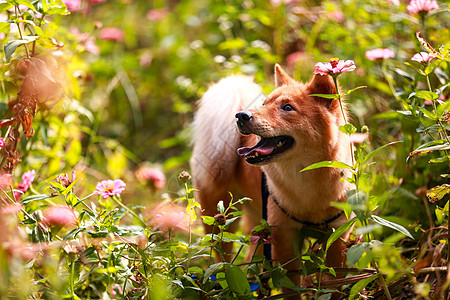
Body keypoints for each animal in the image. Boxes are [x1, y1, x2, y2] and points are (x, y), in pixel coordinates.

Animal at [190, 64, 356, 296]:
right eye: (265, 104)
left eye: (287, 107)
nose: (241, 115)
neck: (308, 181)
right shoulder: (284, 239)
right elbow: (292, 289)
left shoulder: (338, 236)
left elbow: (333, 286)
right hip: (220, 222)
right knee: (222, 261)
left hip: (257, 225)